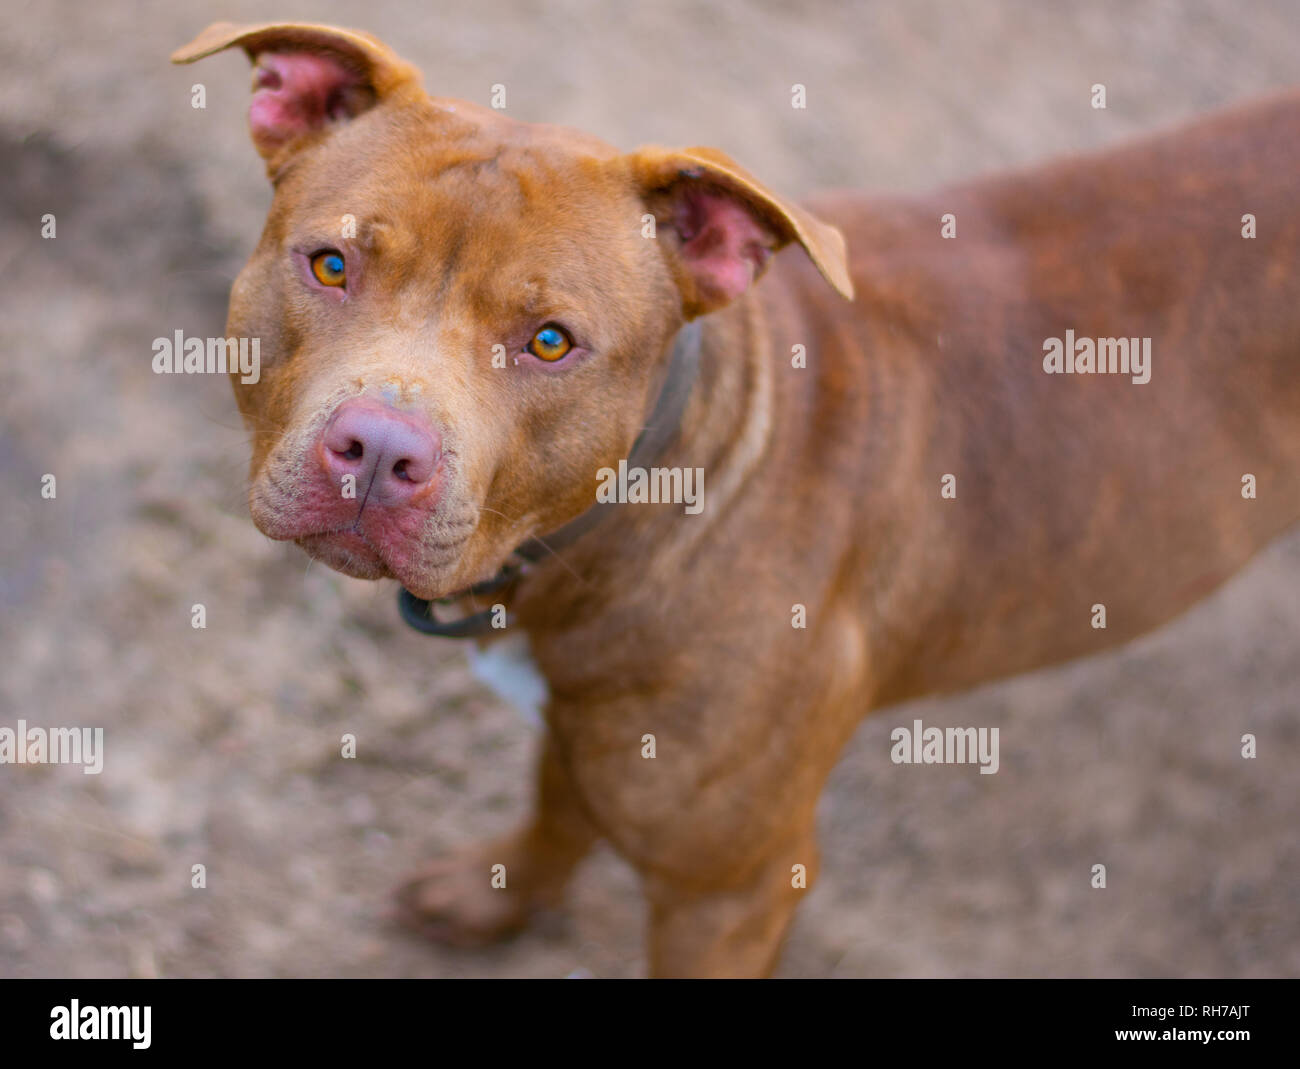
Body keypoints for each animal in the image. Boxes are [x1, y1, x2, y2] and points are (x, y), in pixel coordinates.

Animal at [172, 23, 1300, 977]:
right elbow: (555, 807)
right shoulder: (583, 729)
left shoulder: (733, 891)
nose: (379, 452)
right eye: (331, 264)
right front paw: (499, 899)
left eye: (550, 341)